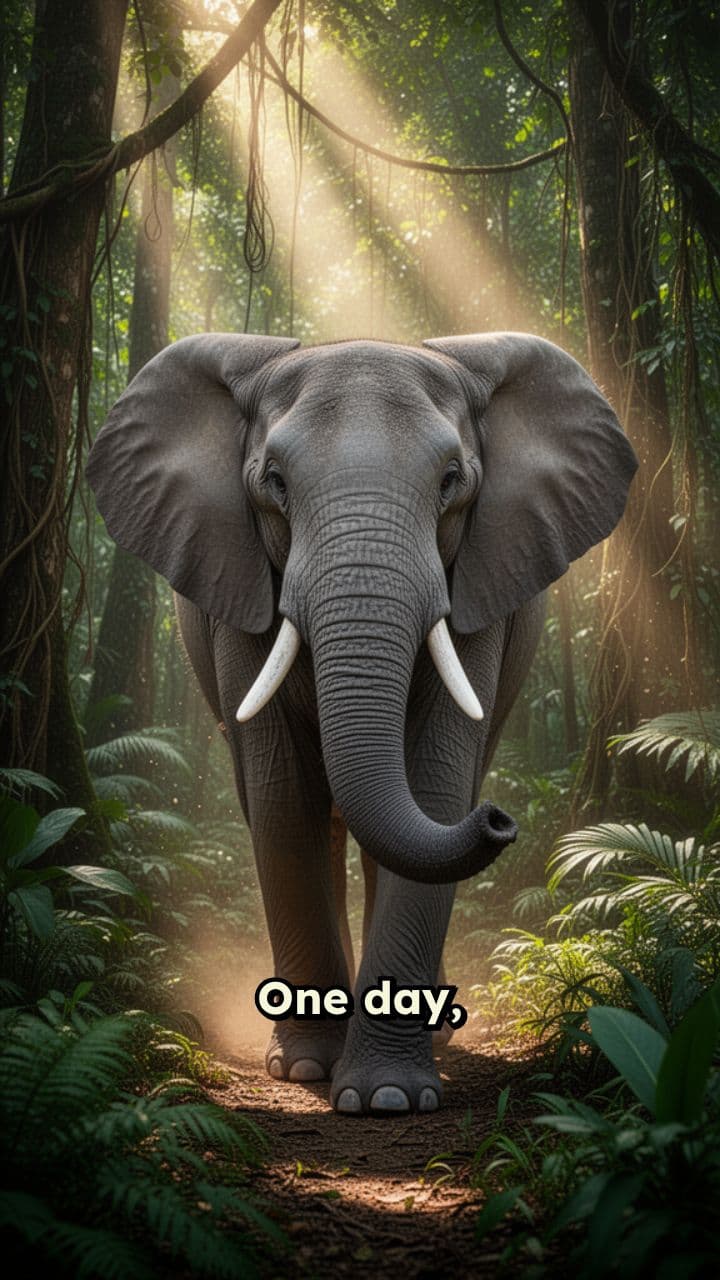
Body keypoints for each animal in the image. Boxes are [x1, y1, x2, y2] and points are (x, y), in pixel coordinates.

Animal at [86, 331, 637, 1116]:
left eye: (451, 481)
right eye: (275, 483)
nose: (501, 820)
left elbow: (434, 782)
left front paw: (388, 1098)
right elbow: (284, 799)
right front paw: (307, 1071)